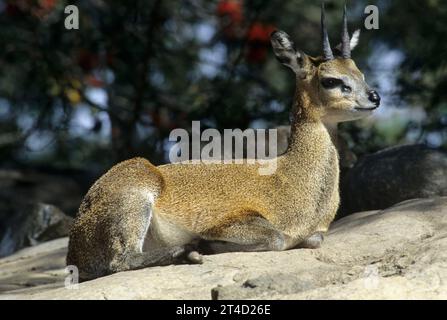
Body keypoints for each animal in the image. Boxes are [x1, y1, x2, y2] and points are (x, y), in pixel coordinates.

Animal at [67, 3, 382, 282]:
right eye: (331, 80)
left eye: (360, 73)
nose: (374, 97)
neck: (289, 176)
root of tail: (74, 247)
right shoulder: (234, 221)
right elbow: (276, 238)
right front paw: (206, 244)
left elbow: (313, 239)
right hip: (136, 197)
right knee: (122, 259)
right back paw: (191, 252)